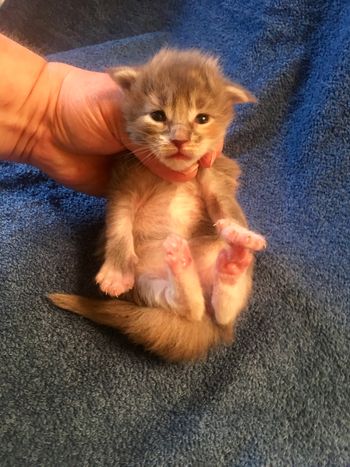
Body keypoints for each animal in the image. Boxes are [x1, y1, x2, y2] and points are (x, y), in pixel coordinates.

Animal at [49, 49, 266, 362]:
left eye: (202, 118)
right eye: (158, 116)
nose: (180, 140)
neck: (171, 174)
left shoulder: (215, 178)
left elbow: (227, 208)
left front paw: (241, 232)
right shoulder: (124, 187)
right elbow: (119, 228)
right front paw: (115, 273)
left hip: (214, 260)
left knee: (223, 312)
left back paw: (235, 257)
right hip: (147, 282)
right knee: (190, 307)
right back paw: (185, 263)